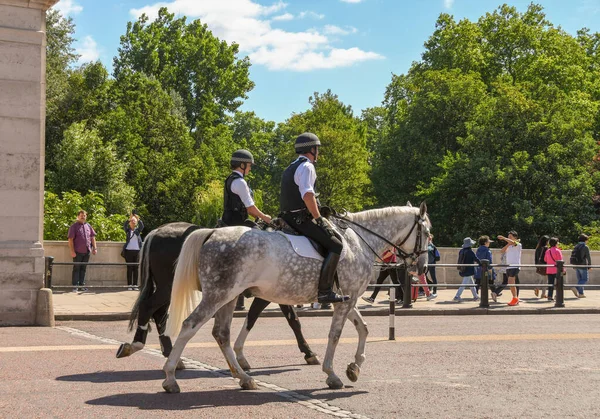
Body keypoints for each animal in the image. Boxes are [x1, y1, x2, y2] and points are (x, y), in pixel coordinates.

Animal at [113, 223, 318, 368]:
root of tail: (157, 231)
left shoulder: (271, 294)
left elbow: (258, 317)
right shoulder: (271, 294)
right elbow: (291, 320)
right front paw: (308, 352)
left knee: (158, 312)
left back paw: (170, 354)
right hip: (168, 287)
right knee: (150, 307)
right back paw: (139, 345)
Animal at [162, 203, 428, 394]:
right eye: (426, 232)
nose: (422, 267)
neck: (358, 242)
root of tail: (212, 232)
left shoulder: (347, 298)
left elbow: (363, 328)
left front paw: (355, 366)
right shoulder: (345, 300)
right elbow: (335, 335)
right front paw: (332, 374)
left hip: (228, 297)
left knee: (221, 333)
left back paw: (244, 377)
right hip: (218, 295)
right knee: (189, 325)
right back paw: (171, 377)